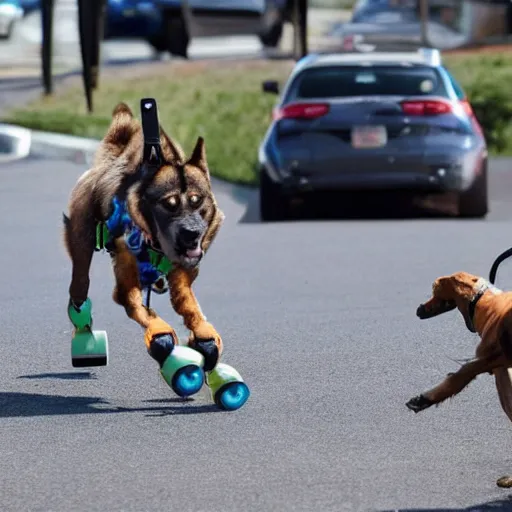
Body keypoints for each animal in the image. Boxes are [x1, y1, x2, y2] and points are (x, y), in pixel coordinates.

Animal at [408, 270, 512, 486]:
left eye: (434, 290)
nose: (419, 309)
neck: (484, 302)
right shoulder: (500, 366)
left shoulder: (491, 358)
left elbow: (460, 375)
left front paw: (423, 399)